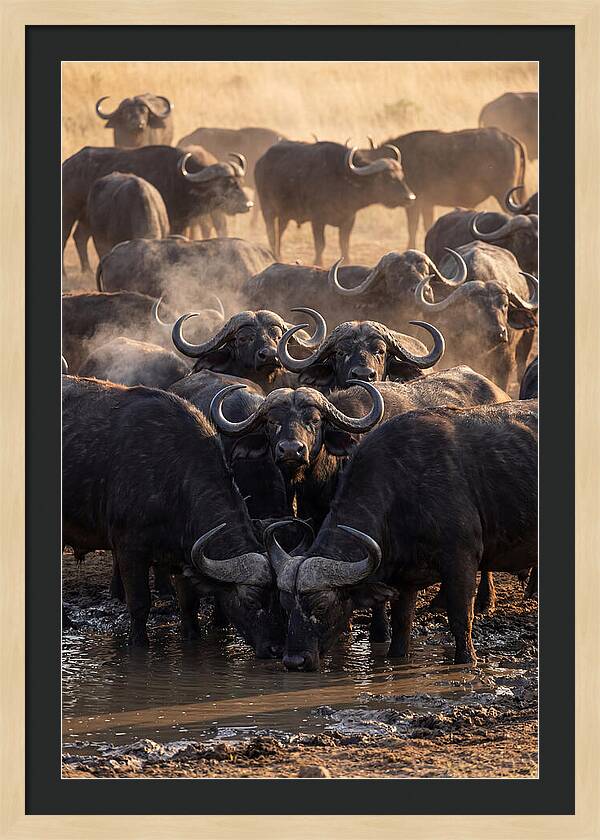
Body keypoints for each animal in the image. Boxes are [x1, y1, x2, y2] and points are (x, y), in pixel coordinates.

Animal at [254, 141, 416, 265]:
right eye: (388, 178)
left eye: (401, 176)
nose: (410, 197)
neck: (343, 180)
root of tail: (260, 162)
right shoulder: (317, 220)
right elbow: (320, 244)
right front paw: (318, 262)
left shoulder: (349, 219)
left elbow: (344, 243)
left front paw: (347, 261)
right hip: (267, 209)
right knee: (271, 233)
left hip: (284, 215)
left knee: (279, 232)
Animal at [266, 399, 537, 670]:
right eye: (285, 604)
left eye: (321, 605)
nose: (294, 661)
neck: (402, 489)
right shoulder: (404, 580)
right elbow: (401, 626)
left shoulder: (461, 560)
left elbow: (461, 620)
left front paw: (467, 660)